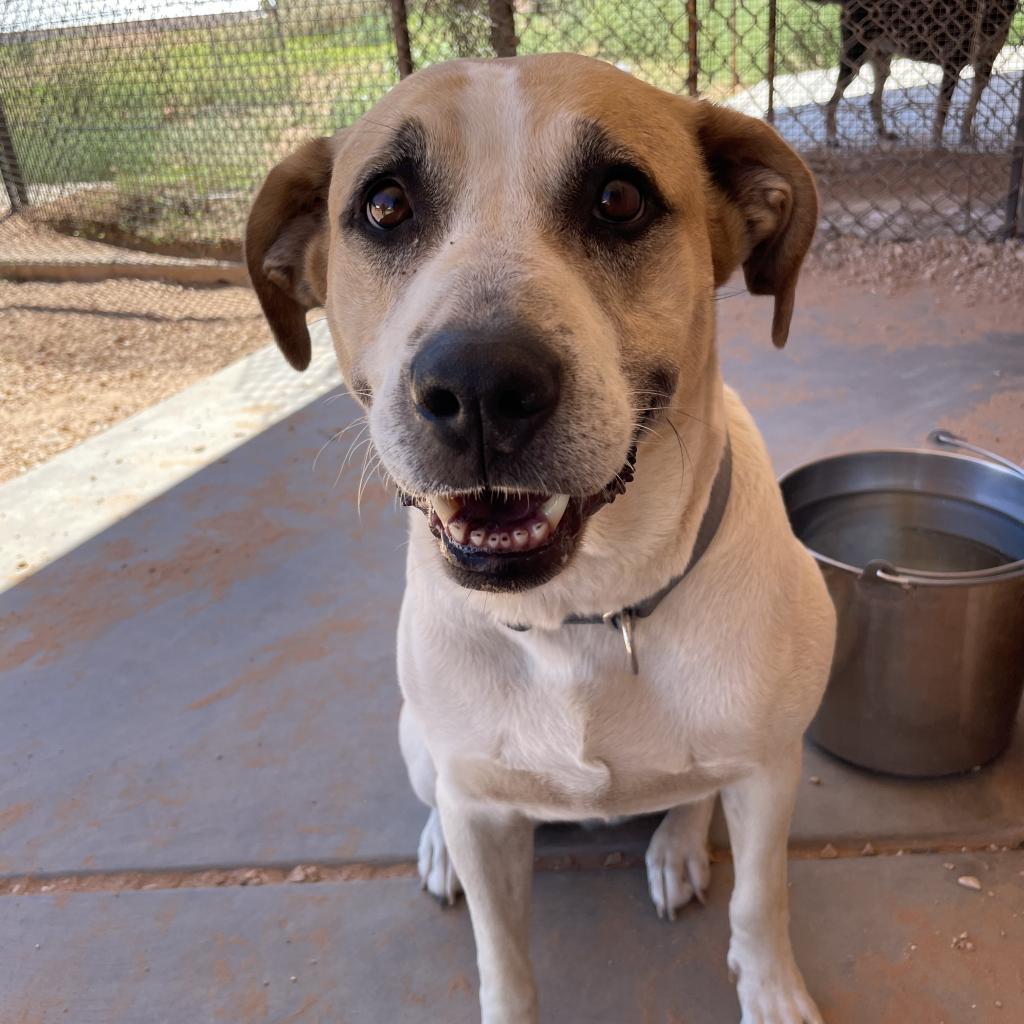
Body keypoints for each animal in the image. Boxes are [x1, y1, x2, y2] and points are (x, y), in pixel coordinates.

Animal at [245, 54, 831, 1024]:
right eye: (385, 205)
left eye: (620, 199)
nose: (478, 386)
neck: (583, 616)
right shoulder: (484, 811)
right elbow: (504, 960)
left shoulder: (769, 771)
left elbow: (761, 899)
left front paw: (775, 992)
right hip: (421, 745)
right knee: (439, 796)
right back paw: (438, 846)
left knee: (695, 799)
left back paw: (678, 838)